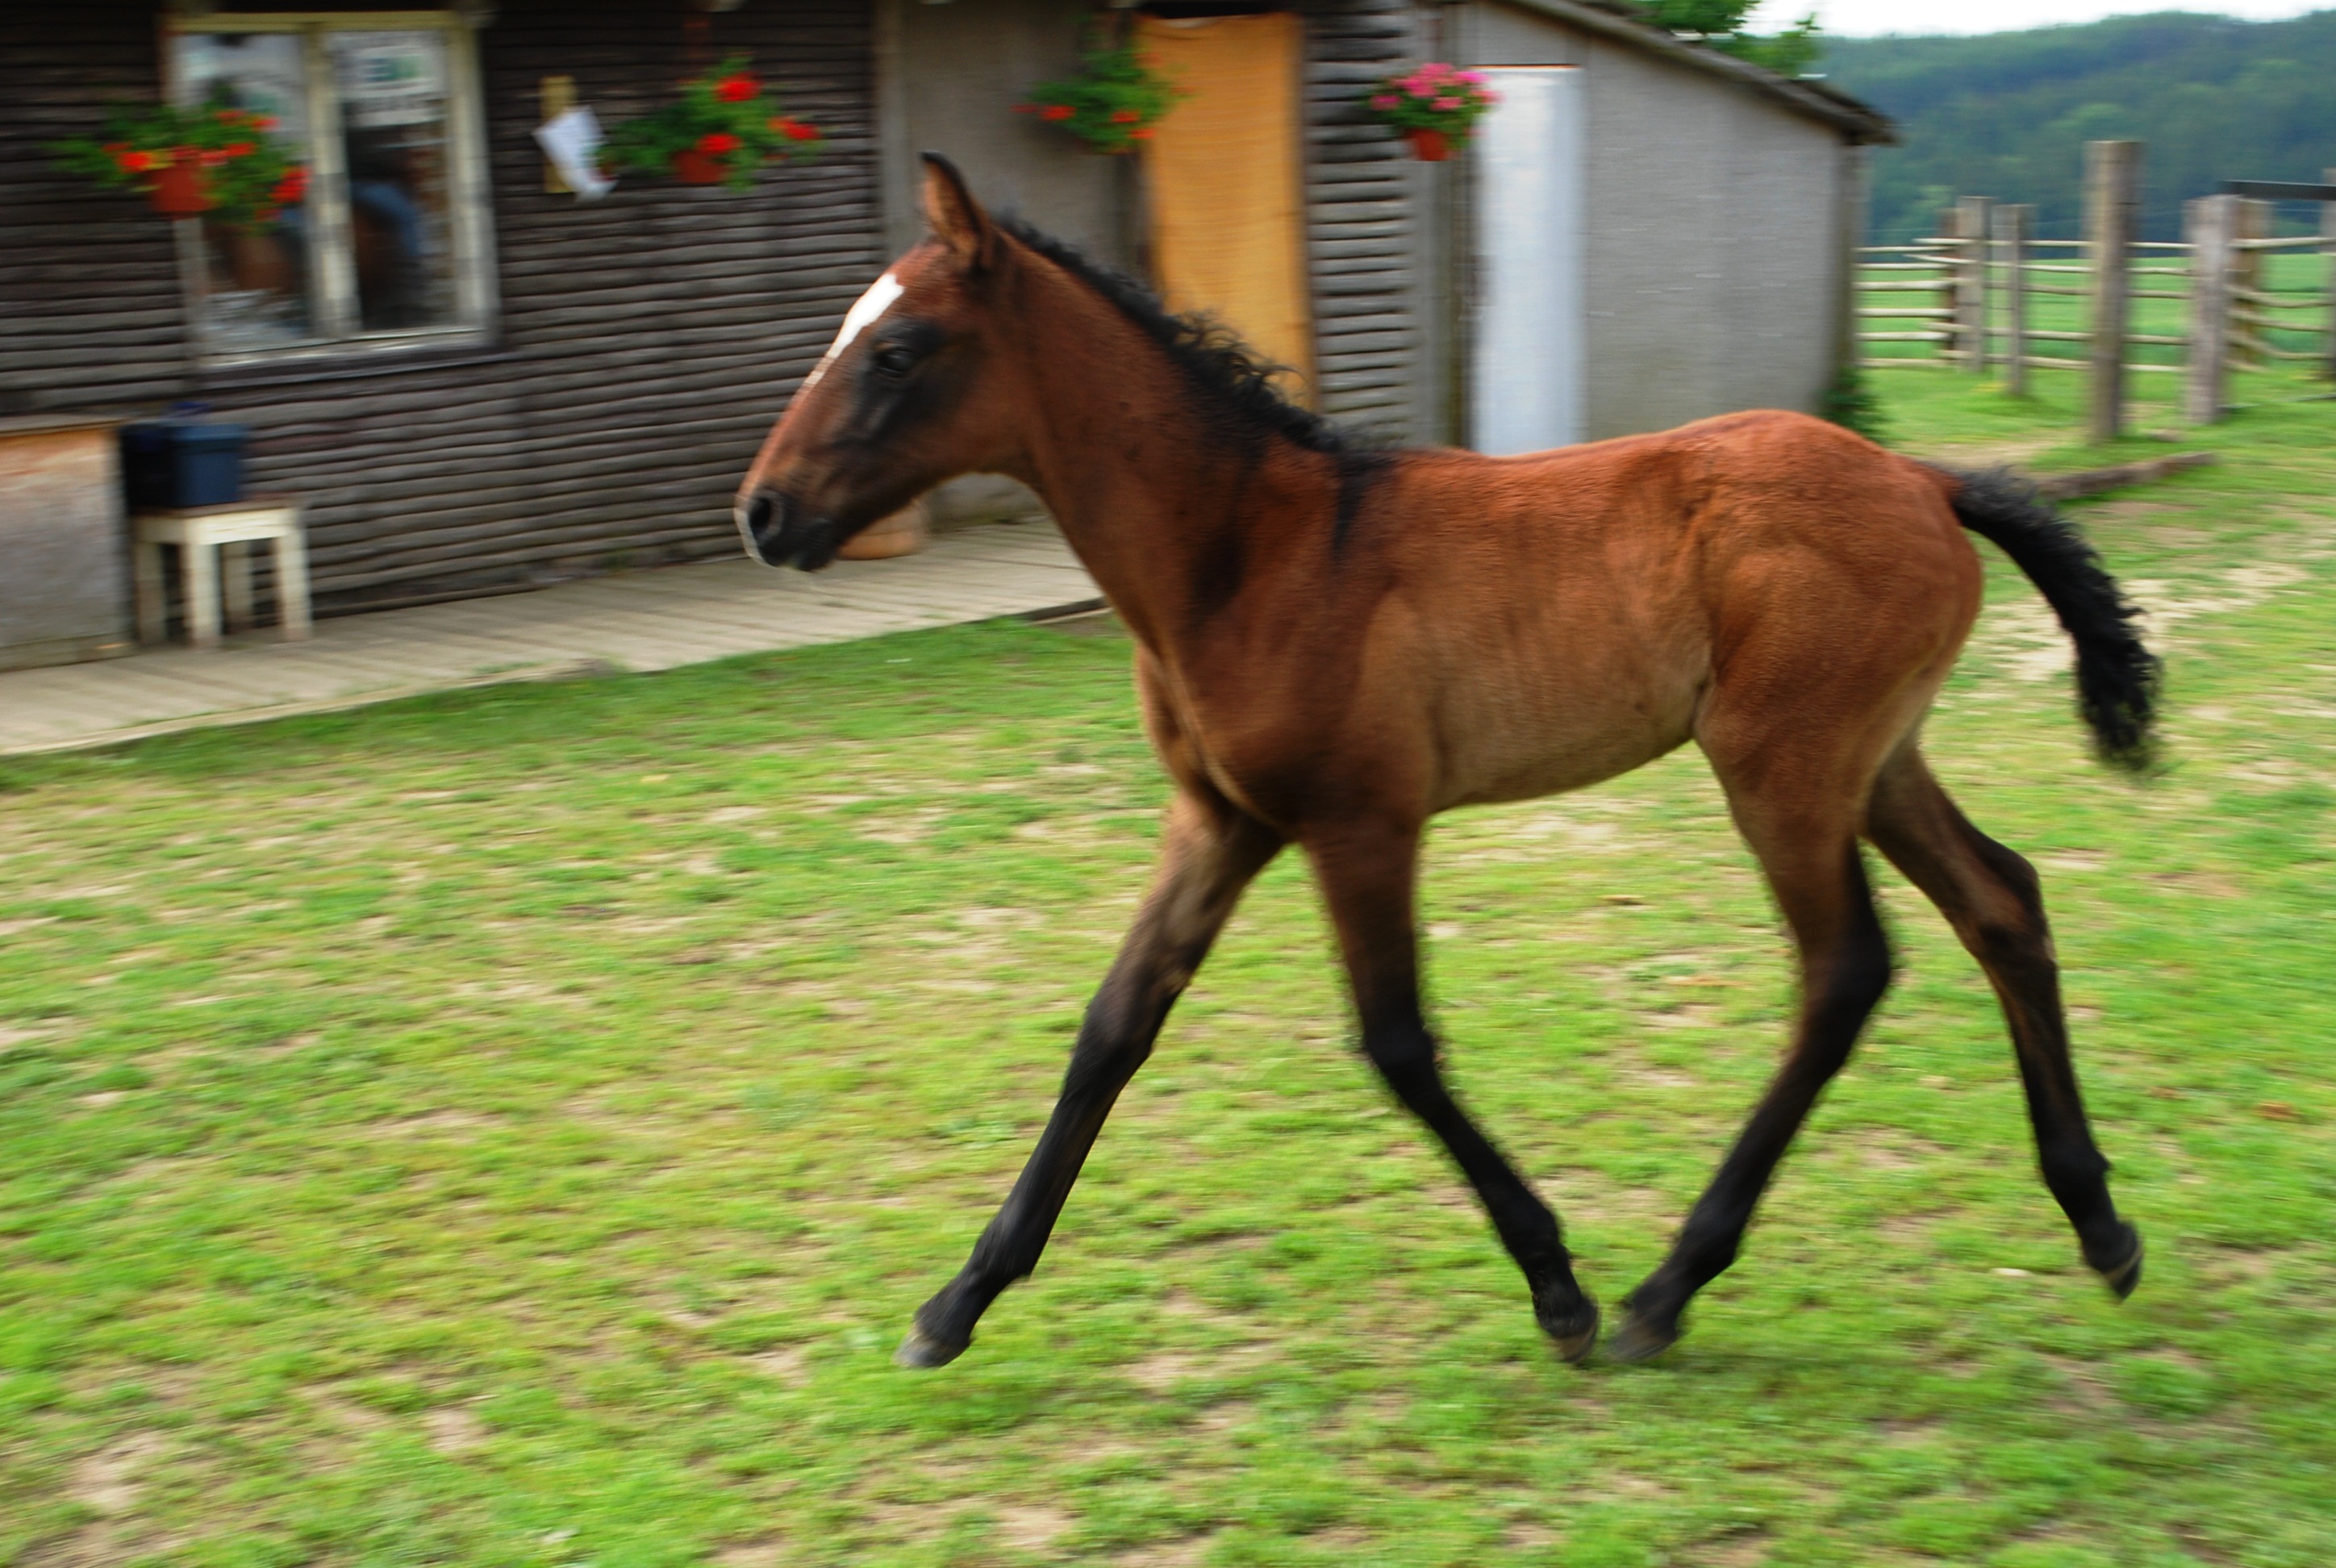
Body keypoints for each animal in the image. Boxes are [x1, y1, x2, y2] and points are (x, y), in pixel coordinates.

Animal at [738, 152, 2158, 1364]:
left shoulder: (1360, 821)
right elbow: (1113, 1025)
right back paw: (2099, 1223)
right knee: (2001, 901)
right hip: (1876, 761)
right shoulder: (1220, 819)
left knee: (1845, 971)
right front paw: (957, 1300)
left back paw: (1666, 1289)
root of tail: (1926, 480)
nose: (763, 514)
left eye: (897, 350)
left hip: (1784, 771)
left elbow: (1397, 1043)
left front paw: (1559, 1286)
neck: (1248, 556)